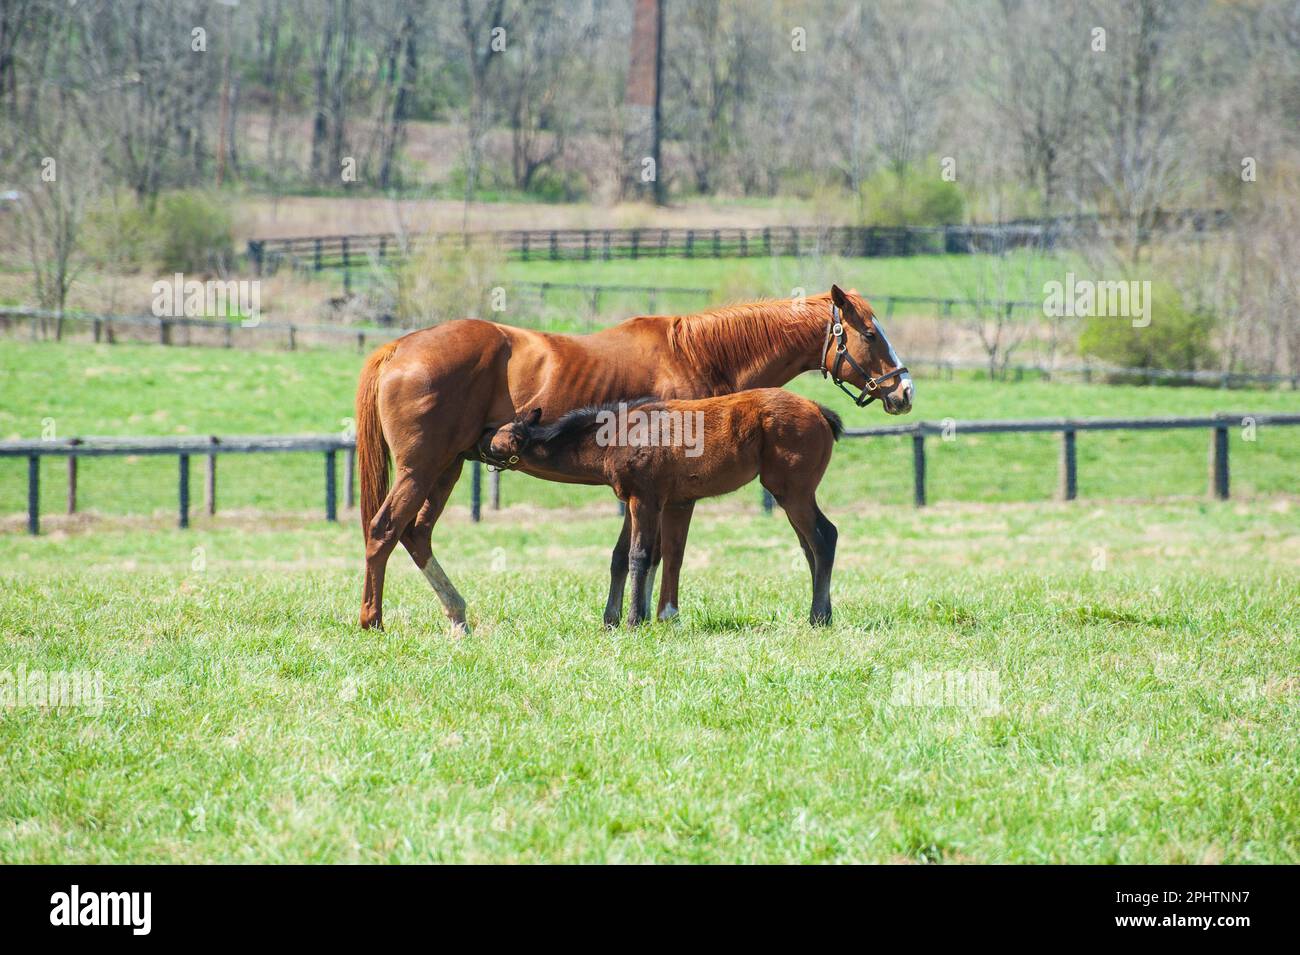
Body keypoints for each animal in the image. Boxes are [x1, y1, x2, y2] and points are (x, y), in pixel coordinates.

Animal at [486, 389, 844, 626]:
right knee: (808, 545)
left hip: (793, 492)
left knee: (824, 537)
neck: (616, 435)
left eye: (497, 442)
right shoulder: (644, 501)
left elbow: (640, 556)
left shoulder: (645, 500)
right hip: (792, 495)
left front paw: (633, 619)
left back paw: (818, 616)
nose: (480, 447)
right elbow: (624, 557)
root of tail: (817, 410)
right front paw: (614, 619)